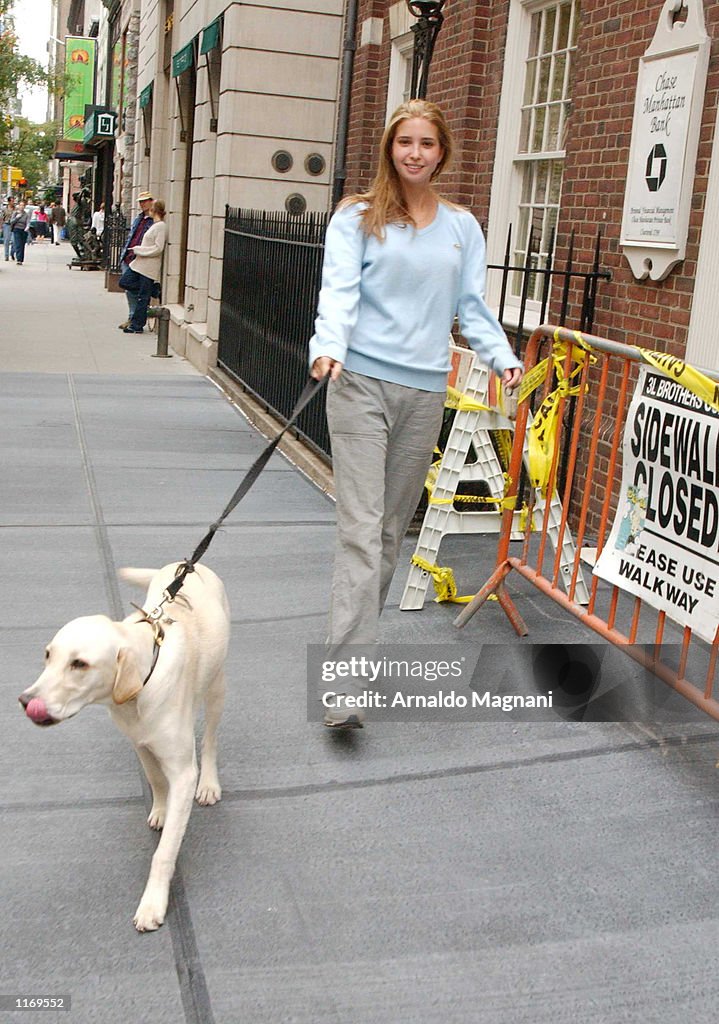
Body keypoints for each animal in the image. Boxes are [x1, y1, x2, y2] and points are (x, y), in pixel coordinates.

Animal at [17, 565, 231, 933]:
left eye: (79, 664)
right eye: (48, 655)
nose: (25, 701)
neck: (137, 693)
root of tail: (190, 565)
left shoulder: (183, 773)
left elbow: (164, 852)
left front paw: (153, 903)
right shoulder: (139, 741)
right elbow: (156, 780)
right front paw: (161, 809)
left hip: (216, 688)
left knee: (211, 741)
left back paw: (209, 784)